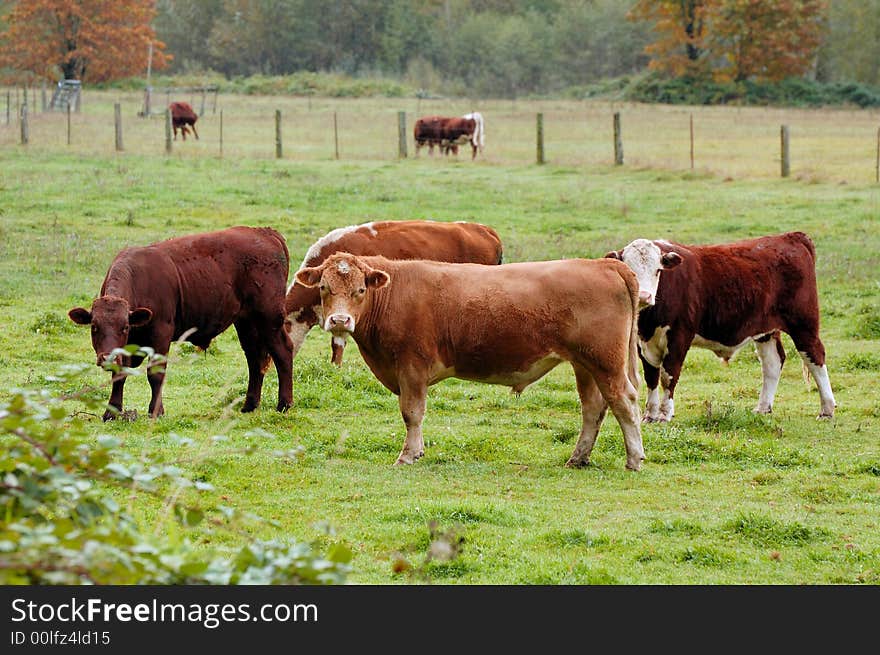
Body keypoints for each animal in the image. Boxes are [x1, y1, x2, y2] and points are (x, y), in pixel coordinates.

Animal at [69, 226, 294, 420]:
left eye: (124, 327)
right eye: (94, 327)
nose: (107, 357)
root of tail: (264, 232)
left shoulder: (161, 333)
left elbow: (155, 374)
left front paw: (156, 411)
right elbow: (119, 374)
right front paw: (112, 412)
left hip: (269, 318)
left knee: (283, 352)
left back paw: (284, 404)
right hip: (246, 323)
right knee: (254, 360)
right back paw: (249, 405)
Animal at [296, 251, 648, 472]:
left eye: (359, 290)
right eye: (324, 287)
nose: (340, 320)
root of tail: (605, 265)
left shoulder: (411, 366)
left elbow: (412, 413)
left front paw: (408, 455)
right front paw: (417, 451)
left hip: (606, 362)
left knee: (624, 401)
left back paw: (634, 458)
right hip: (584, 364)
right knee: (593, 408)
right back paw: (578, 458)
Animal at [608, 233, 836, 422]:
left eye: (658, 270)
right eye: (631, 272)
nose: (644, 296)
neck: (650, 320)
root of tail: (791, 237)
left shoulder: (679, 336)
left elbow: (668, 375)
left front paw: (665, 414)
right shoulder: (642, 341)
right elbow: (651, 377)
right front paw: (650, 414)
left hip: (803, 324)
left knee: (815, 356)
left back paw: (827, 409)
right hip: (765, 330)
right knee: (772, 362)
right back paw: (763, 407)